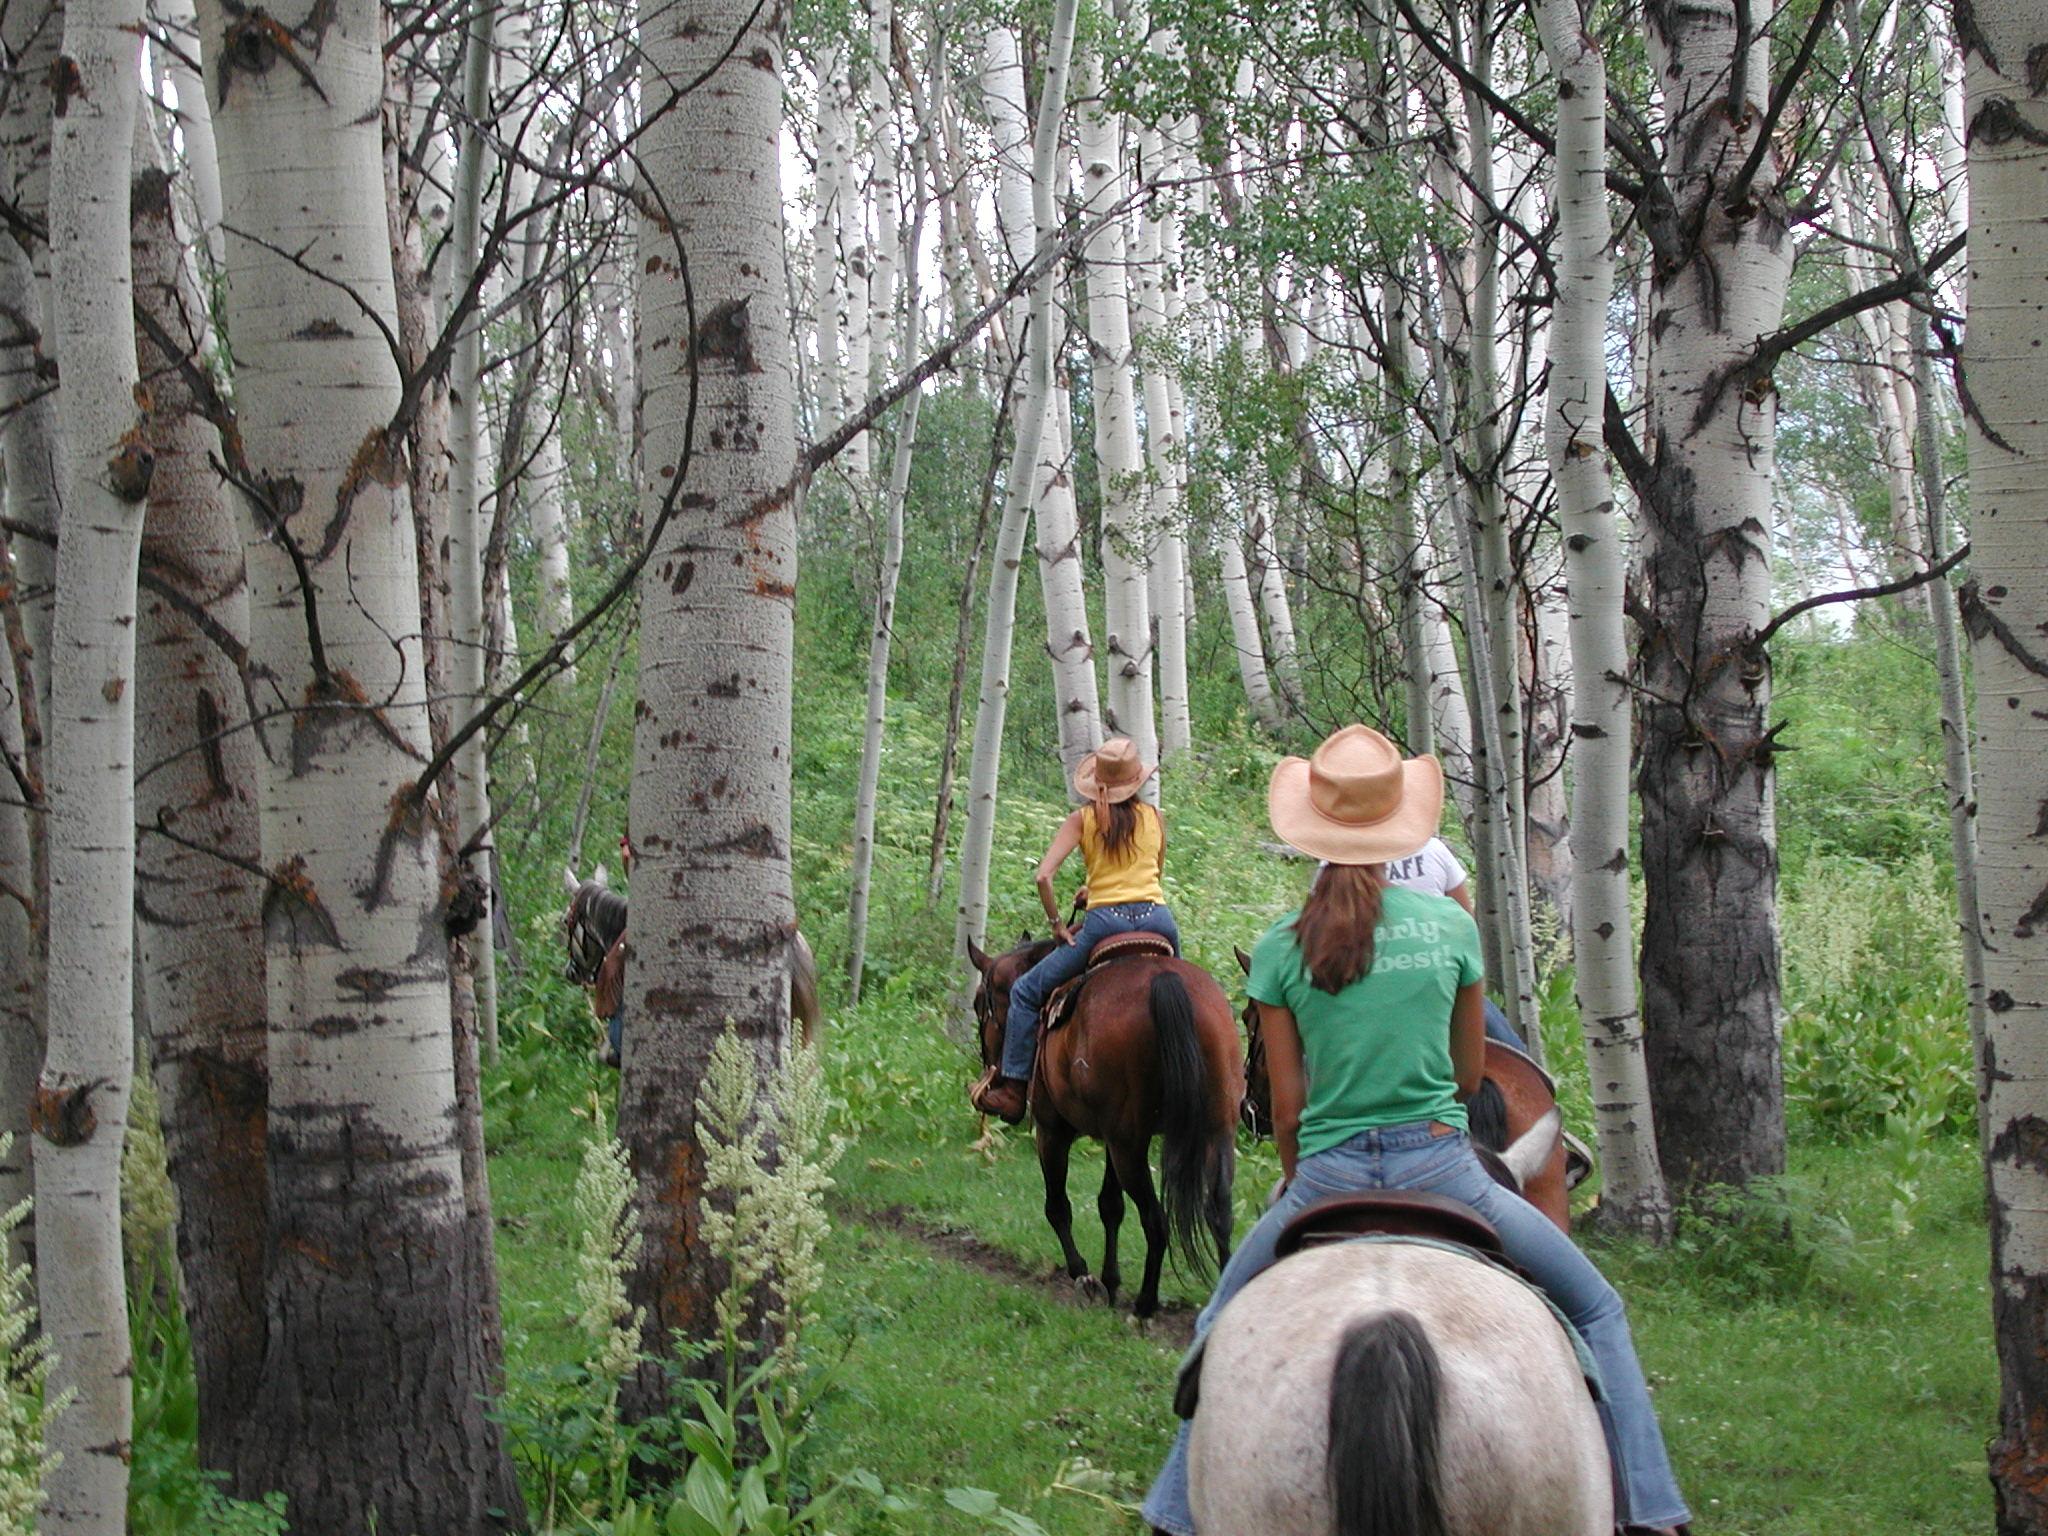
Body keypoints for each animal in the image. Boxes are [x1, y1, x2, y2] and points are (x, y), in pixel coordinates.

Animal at [966, 937, 1236, 1327]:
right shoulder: (1112, 1137)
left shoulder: (1052, 1131)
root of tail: (1165, 981)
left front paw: (1084, 1277)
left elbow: (1057, 1207)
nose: (989, 1070)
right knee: (1219, 1212)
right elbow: (1110, 1206)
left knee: (1155, 1220)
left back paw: (1144, 1306)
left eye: (978, 1003)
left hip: (1129, 1147)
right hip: (1211, 1132)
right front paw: (1110, 1281)